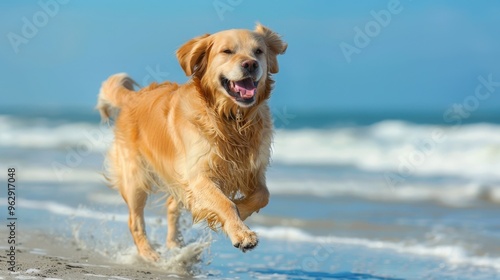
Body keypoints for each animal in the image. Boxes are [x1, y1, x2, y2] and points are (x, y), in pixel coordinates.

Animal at [95, 23, 288, 260]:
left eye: (258, 51)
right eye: (227, 51)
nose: (251, 64)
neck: (231, 120)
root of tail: (133, 96)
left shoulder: (253, 170)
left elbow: (263, 195)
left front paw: (239, 211)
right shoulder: (198, 174)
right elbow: (224, 203)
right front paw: (241, 233)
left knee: (171, 204)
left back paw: (174, 244)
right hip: (135, 178)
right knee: (135, 221)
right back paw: (150, 255)